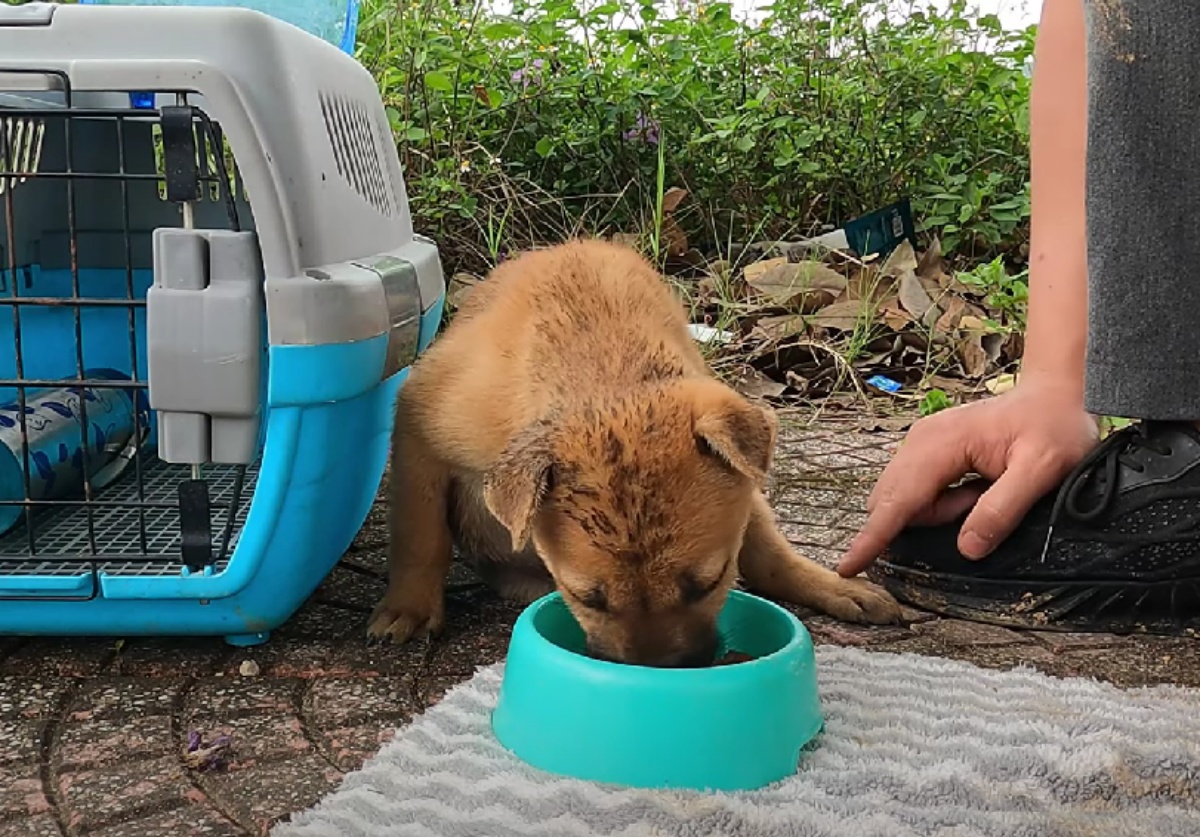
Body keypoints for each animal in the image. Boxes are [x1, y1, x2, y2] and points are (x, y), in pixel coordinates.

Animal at [364, 237, 902, 661]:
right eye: (587, 598)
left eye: (709, 583)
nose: (663, 671)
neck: (605, 375)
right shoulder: (418, 424)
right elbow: (419, 534)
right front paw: (410, 608)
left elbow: (760, 551)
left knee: (767, 550)